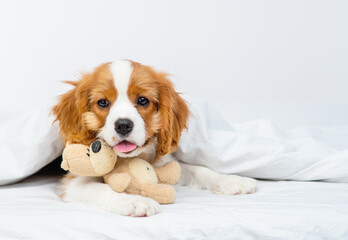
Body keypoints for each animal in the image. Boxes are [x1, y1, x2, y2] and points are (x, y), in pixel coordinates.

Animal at [53, 60, 256, 218]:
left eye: (143, 100)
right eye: (102, 103)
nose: (123, 125)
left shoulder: (165, 163)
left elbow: (197, 169)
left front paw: (233, 181)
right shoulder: (73, 182)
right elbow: (101, 189)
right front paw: (134, 201)